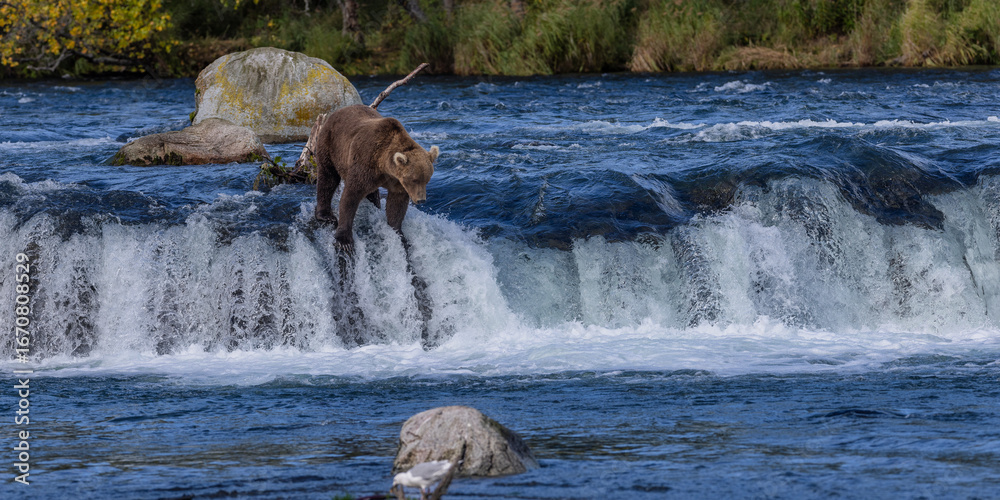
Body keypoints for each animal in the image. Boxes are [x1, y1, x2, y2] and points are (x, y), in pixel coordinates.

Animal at [313, 104, 439, 251]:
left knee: (372, 193)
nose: (421, 200)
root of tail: (338, 111)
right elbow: (350, 196)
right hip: (330, 144)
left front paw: (399, 234)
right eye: (414, 180)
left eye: (427, 180)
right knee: (328, 177)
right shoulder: (365, 162)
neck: (383, 166)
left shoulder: (395, 181)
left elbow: (396, 205)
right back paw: (325, 215)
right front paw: (344, 240)